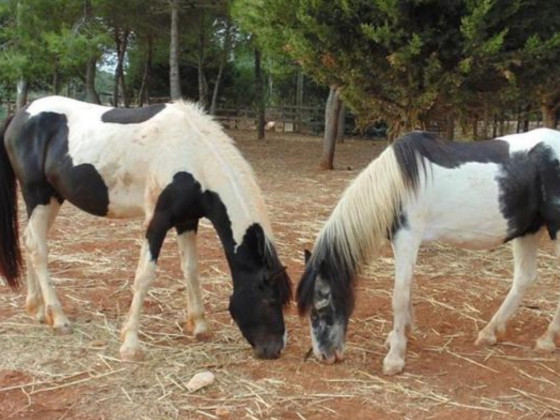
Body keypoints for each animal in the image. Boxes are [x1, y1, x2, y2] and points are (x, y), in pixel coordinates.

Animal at [2, 95, 294, 360]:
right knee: (37, 247)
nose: (275, 349)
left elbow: (191, 270)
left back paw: (38, 310)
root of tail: (21, 114)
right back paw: (59, 318)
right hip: (37, 194)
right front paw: (130, 344)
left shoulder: (187, 221)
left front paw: (199, 326)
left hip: (51, 198)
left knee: (30, 241)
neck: (192, 155)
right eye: (270, 300)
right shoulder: (157, 221)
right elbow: (144, 275)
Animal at [300, 128, 560, 374]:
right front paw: (401, 336)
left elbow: (399, 296)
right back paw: (489, 332)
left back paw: (546, 339)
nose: (324, 356)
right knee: (524, 278)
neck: (397, 185)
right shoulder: (402, 242)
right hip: (528, 231)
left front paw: (395, 358)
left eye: (318, 310)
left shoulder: (407, 239)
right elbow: (406, 291)